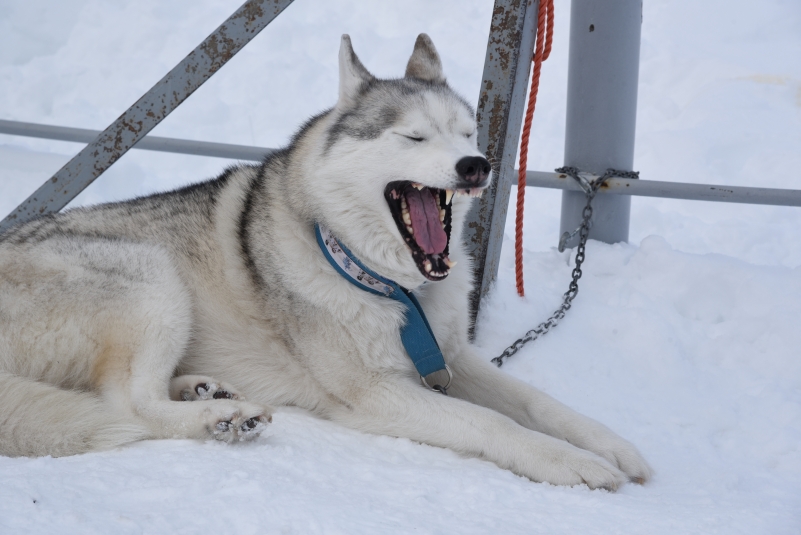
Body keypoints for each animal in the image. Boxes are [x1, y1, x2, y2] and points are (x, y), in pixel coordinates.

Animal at [0, 34, 648, 490]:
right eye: (414, 138)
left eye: (467, 133)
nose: (477, 166)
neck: (390, 284)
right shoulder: (378, 393)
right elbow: (495, 423)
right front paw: (568, 462)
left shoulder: (451, 359)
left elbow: (538, 403)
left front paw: (608, 444)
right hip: (151, 277)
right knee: (127, 403)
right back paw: (218, 420)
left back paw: (205, 392)